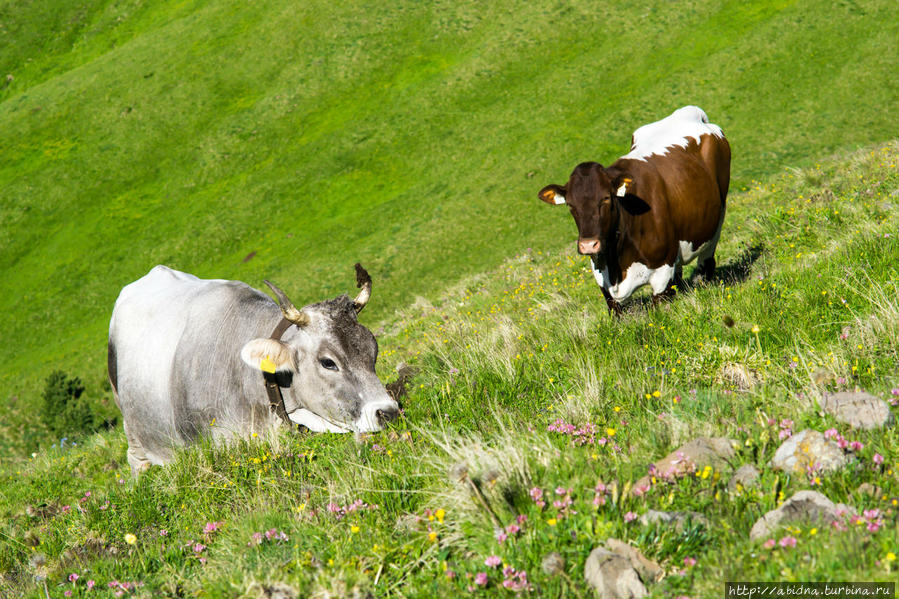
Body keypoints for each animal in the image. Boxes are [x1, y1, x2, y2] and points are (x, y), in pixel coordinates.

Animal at [540, 106, 732, 316]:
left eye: (606, 198)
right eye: (570, 204)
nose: (588, 245)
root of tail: (689, 112)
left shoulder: (662, 273)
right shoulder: (604, 284)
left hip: (718, 217)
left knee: (706, 260)